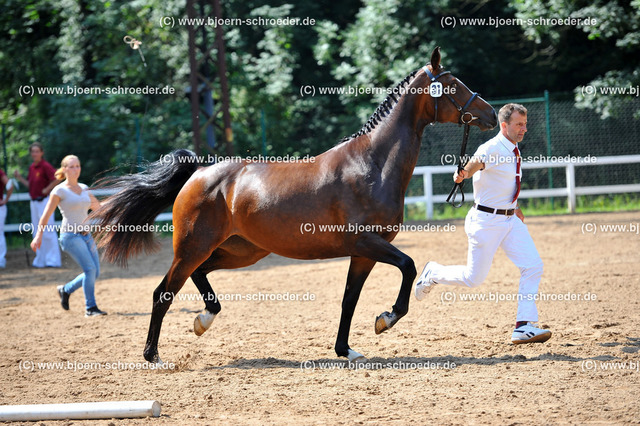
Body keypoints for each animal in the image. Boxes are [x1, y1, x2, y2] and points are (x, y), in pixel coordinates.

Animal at [90, 48, 498, 364]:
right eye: (453, 85)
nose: (492, 114)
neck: (372, 163)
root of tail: (200, 173)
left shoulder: (363, 252)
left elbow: (349, 299)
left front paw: (346, 349)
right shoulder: (367, 242)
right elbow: (409, 266)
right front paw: (387, 318)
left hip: (240, 251)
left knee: (199, 274)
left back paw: (204, 320)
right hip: (194, 245)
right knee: (163, 291)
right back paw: (154, 356)